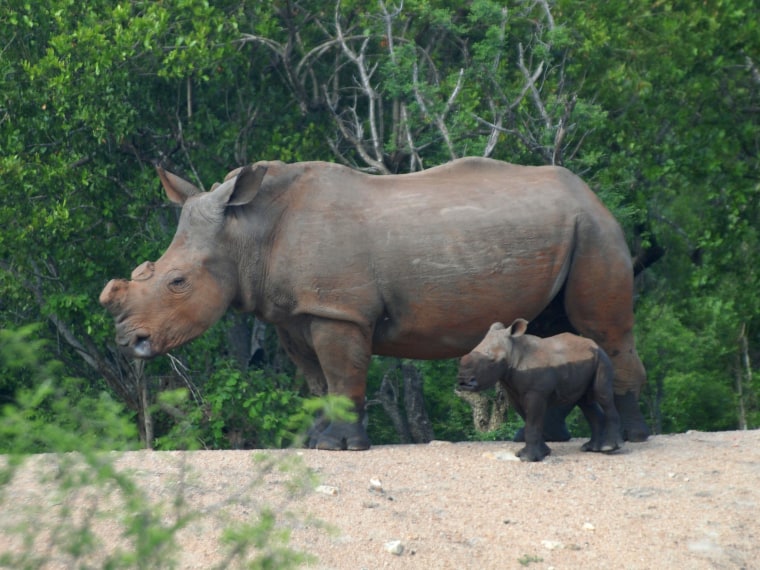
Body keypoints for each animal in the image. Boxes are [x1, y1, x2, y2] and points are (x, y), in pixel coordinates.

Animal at [458, 318, 624, 460]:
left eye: (492, 361)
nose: (463, 382)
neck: (514, 352)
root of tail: (595, 344)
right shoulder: (514, 391)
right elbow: (530, 419)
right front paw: (542, 453)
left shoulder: (536, 392)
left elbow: (532, 421)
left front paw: (528, 458)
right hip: (586, 360)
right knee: (585, 401)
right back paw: (591, 448)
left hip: (602, 358)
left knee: (602, 394)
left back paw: (609, 448)